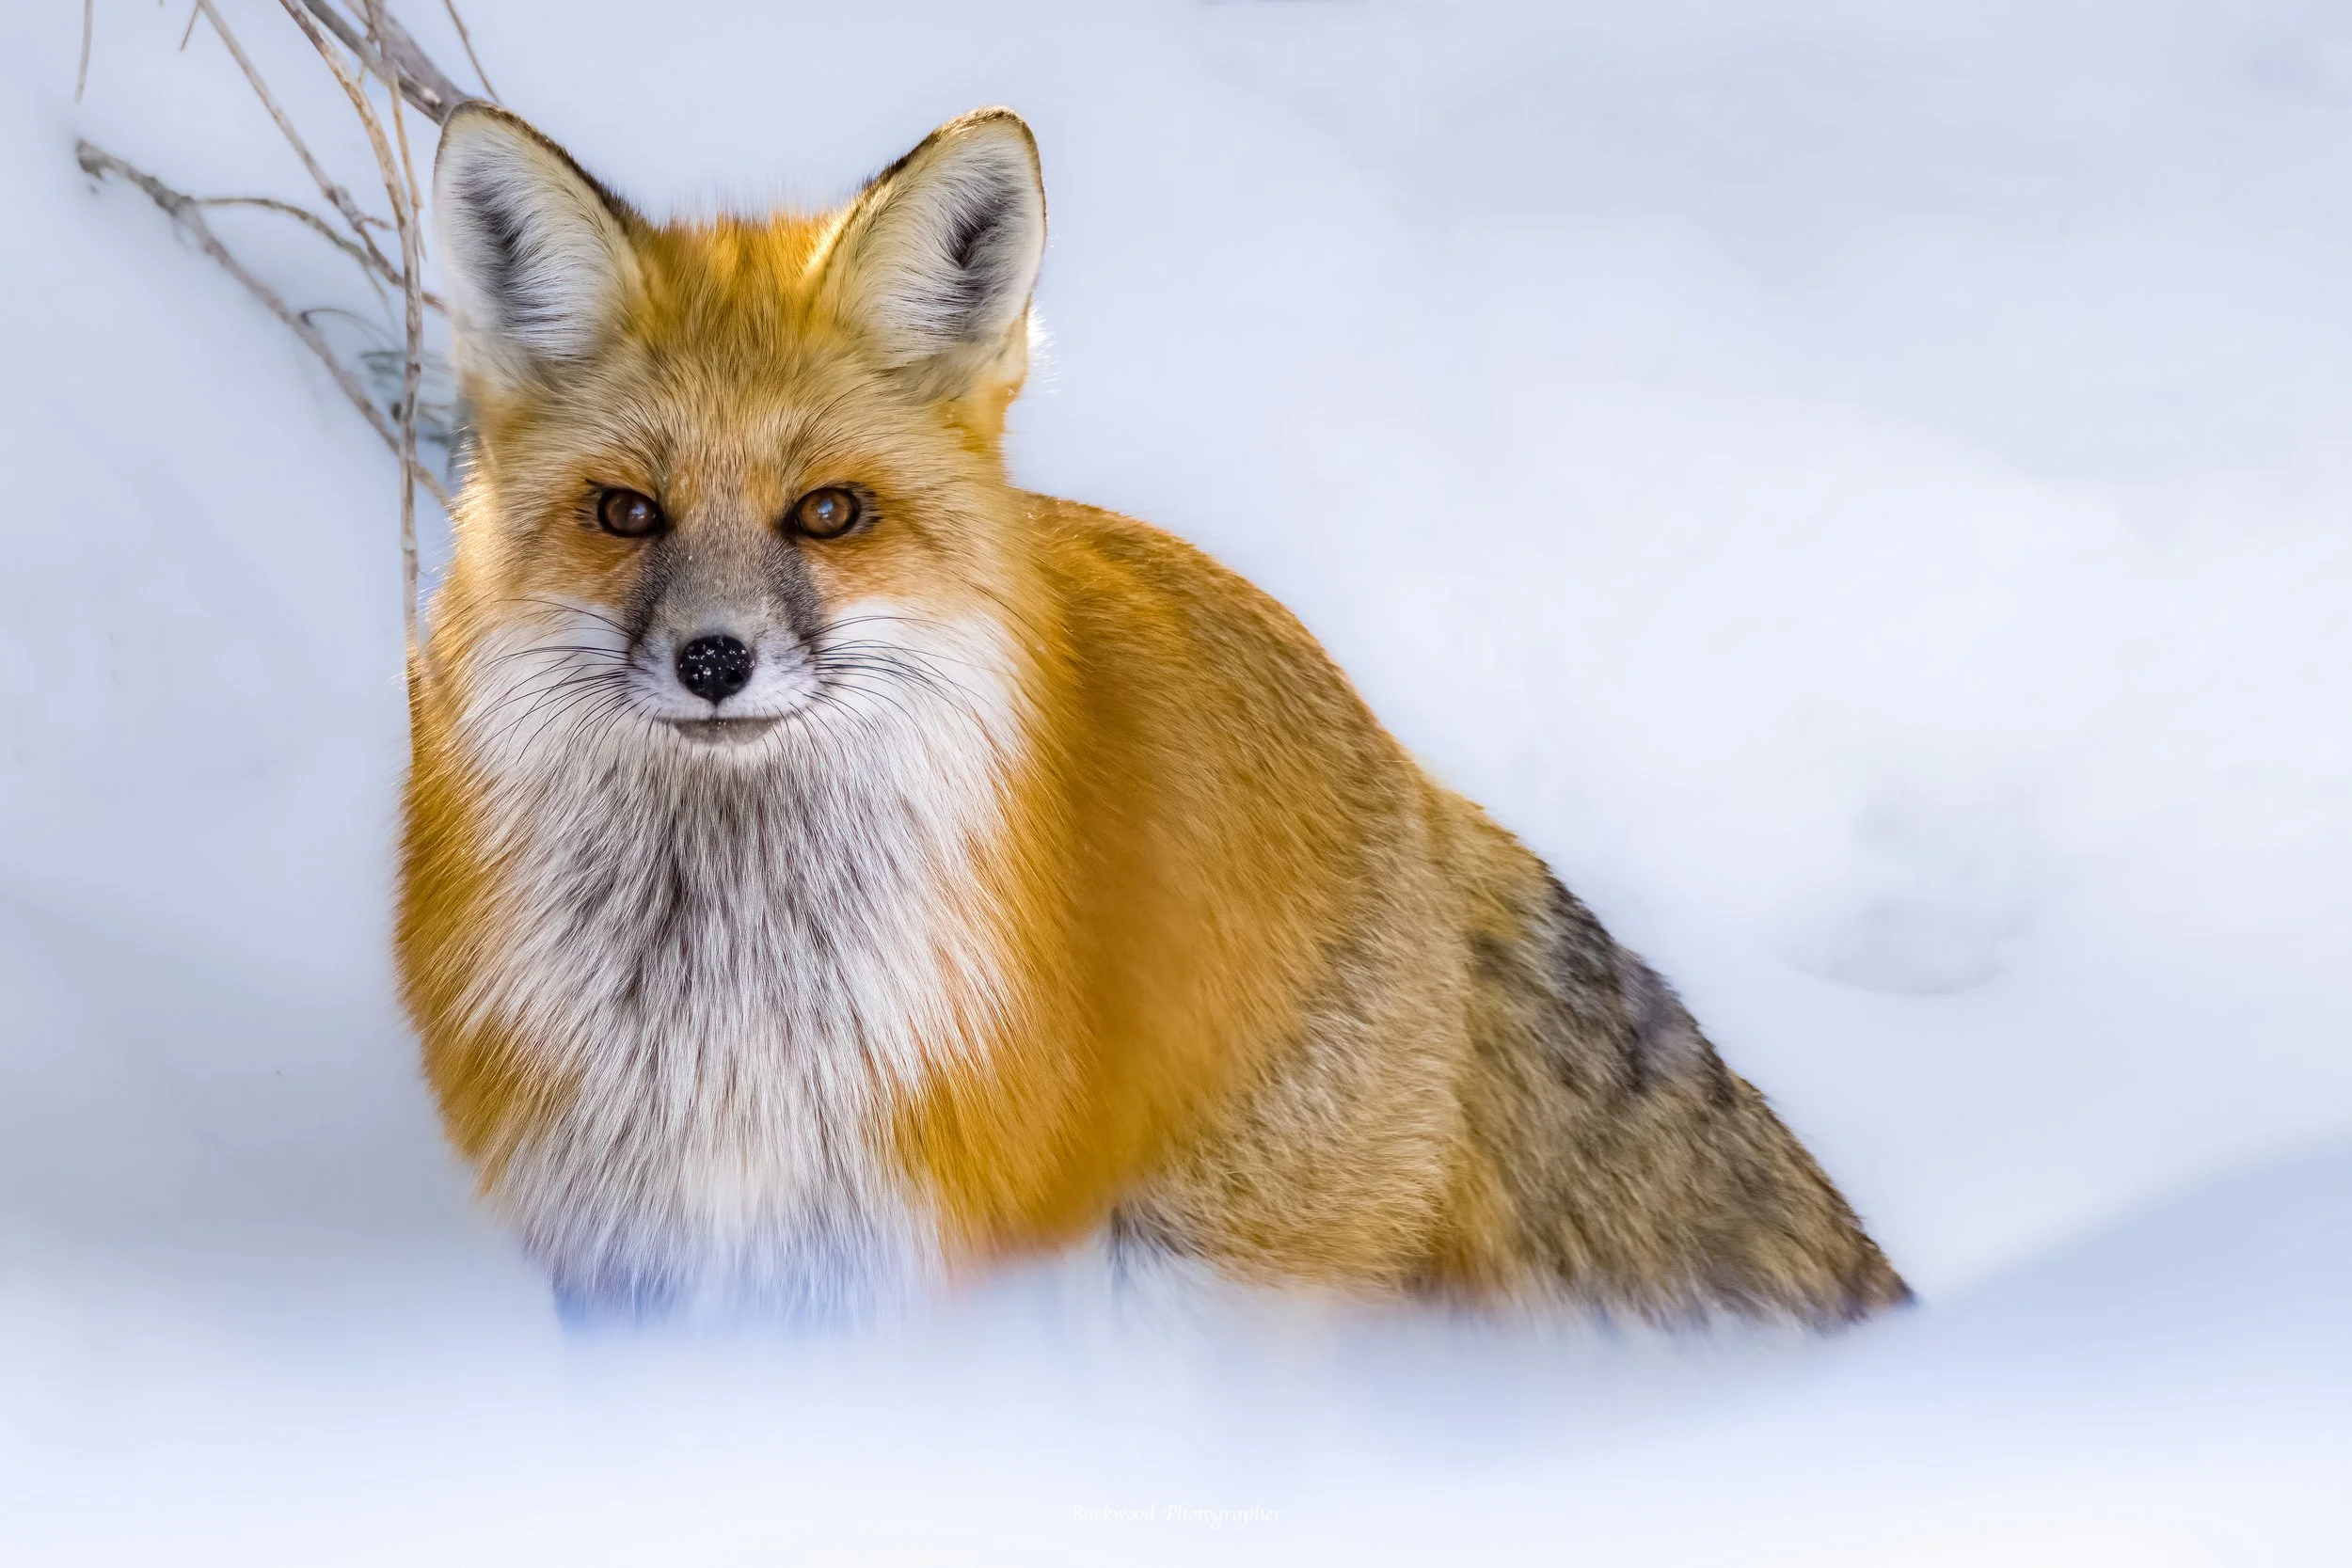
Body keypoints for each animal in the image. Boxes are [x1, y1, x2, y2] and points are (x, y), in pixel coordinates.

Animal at [397, 101, 1908, 1326]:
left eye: (827, 513)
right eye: (624, 512)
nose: (715, 658)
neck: (729, 1000)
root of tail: (1413, 778)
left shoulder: (918, 1236)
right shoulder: (631, 1252)